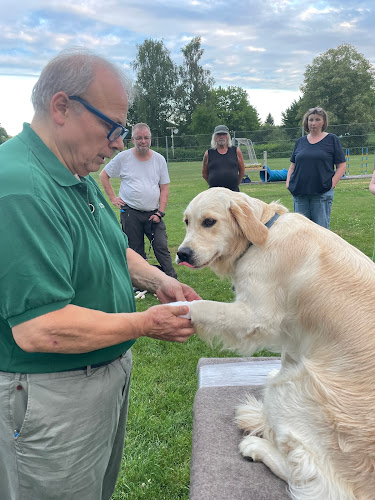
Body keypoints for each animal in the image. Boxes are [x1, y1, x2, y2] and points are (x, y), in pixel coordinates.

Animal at [176, 187, 375, 500]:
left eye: (209, 222)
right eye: (186, 222)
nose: (181, 253)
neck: (262, 235)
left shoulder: (256, 316)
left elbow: (203, 307)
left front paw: (174, 308)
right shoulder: (292, 338)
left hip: (292, 388)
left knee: (318, 483)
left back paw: (257, 446)